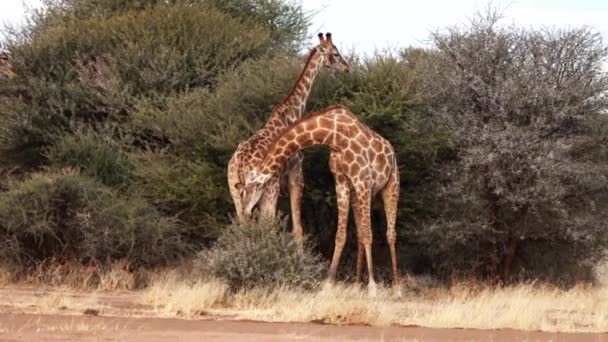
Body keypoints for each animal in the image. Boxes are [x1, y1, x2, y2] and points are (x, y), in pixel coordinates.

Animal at [229, 32, 352, 246]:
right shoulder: (296, 175)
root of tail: (240, 165)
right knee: (266, 225)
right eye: (336, 53)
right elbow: (298, 229)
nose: (346, 67)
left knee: (245, 224)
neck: (292, 113)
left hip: (235, 190)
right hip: (267, 189)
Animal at [240, 105, 402, 296]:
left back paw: (396, 288)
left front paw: (372, 288)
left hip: (391, 184)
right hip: (358, 194)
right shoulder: (342, 182)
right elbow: (342, 235)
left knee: (390, 234)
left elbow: (369, 234)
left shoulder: (362, 179)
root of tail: (391, 149)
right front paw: (328, 283)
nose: (245, 211)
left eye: (251, 188)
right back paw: (356, 285)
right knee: (360, 233)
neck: (334, 135)